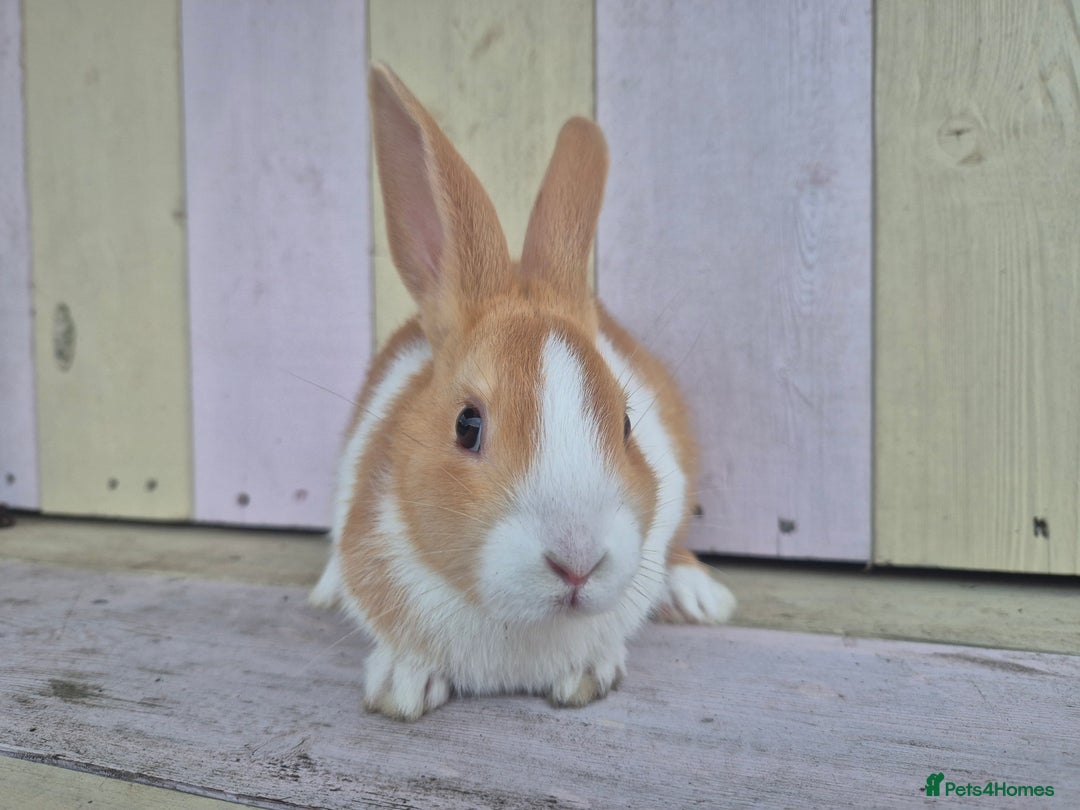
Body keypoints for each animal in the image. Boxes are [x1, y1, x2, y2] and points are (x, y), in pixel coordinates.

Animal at [310, 64, 736, 721]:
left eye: (627, 423)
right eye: (467, 425)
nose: (578, 564)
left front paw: (588, 673)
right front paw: (400, 688)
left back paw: (700, 596)